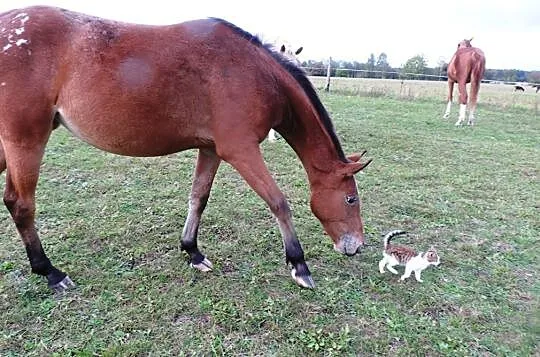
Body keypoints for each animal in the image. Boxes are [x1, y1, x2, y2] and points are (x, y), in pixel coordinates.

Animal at [0, 6, 372, 290]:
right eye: (351, 199)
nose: (356, 246)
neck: (253, 72)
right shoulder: (241, 150)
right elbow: (278, 203)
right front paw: (299, 265)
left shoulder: (211, 149)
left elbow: (198, 198)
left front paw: (192, 251)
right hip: (26, 140)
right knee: (21, 205)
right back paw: (50, 272)